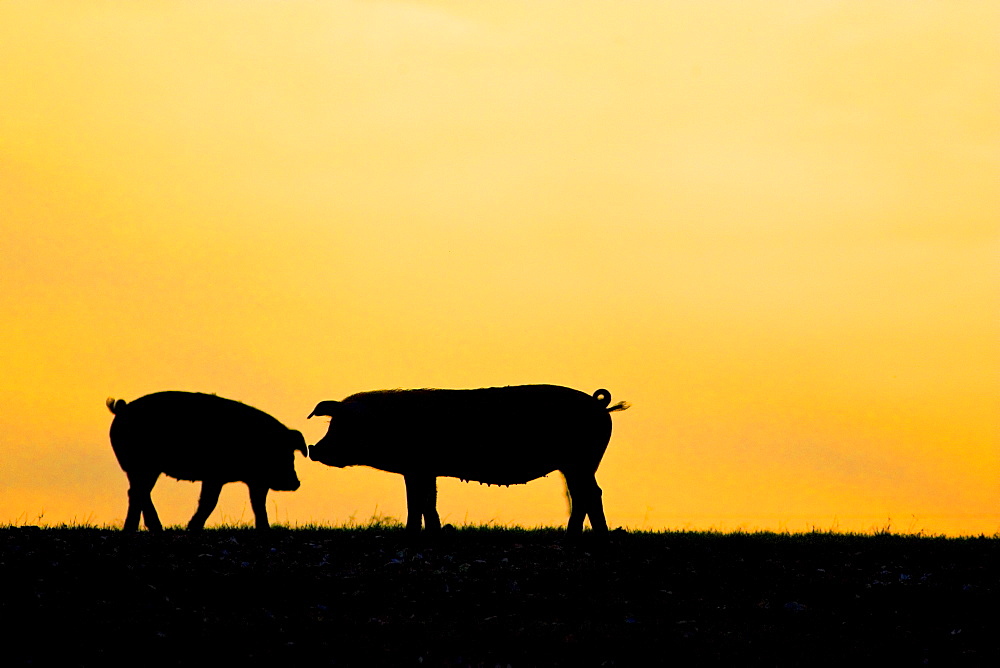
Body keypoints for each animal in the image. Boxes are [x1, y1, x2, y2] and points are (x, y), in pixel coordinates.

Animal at [106, 392, 306, 532]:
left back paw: (139, 529)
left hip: (139, 469)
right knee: (138, 492)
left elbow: (258, 504)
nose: (296, 483)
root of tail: (121, 409)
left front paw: (265, 529)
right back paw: (150, 528)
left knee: (136, 493)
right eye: (287, 455)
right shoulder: (215, 477)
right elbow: (210, 502)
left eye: (292, 455)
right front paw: (192, 528)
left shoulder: (255, 481)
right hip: (143, 466)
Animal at [308, 384, 628, 536]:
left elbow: (418, 502)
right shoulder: (424, 471)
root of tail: (599, 403)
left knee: (589, 494)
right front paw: (432, 532)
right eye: (332, 424)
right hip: (576, 465)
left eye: (345, 425)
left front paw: (411, 533)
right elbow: (427, 502)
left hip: (581, 461)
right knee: (585, 494)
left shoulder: (418, 467)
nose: (314, 448)